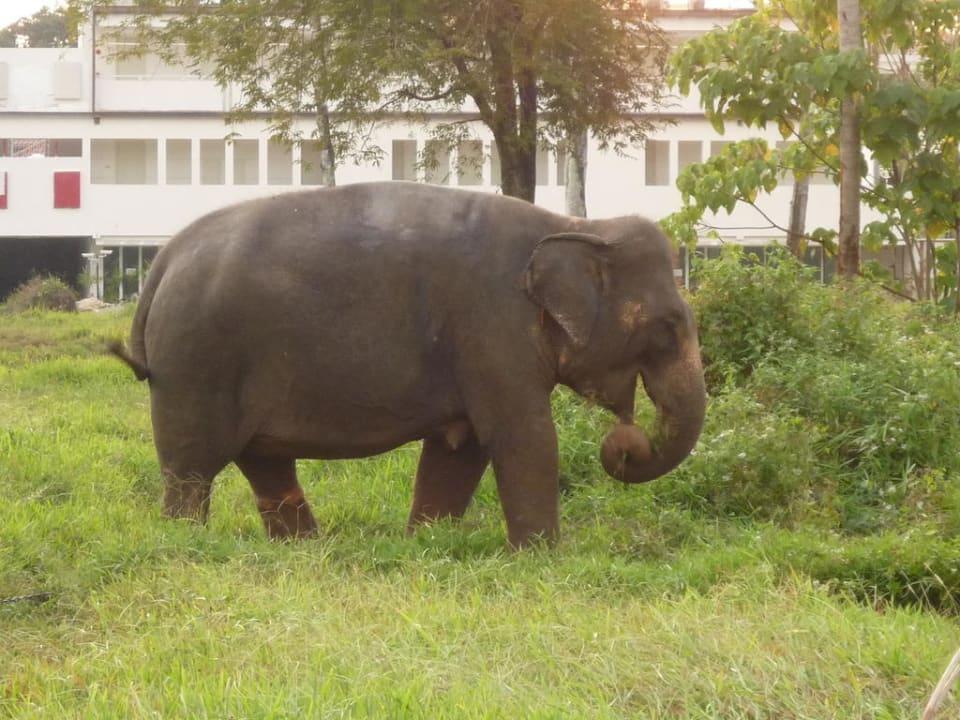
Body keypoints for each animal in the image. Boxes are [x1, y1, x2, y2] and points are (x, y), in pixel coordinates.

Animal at [110, 181, 706, 549]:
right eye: (667, 328)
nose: (626, 442)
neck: (573, 222)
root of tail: (162, 260)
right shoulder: (490, 325)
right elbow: (524, 437)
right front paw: (542, 556)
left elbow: (460, 450)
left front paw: (426, 542)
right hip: (195, 362)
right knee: (190, 469)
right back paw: (186, 541)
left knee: (265, 463)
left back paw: (305, 551)